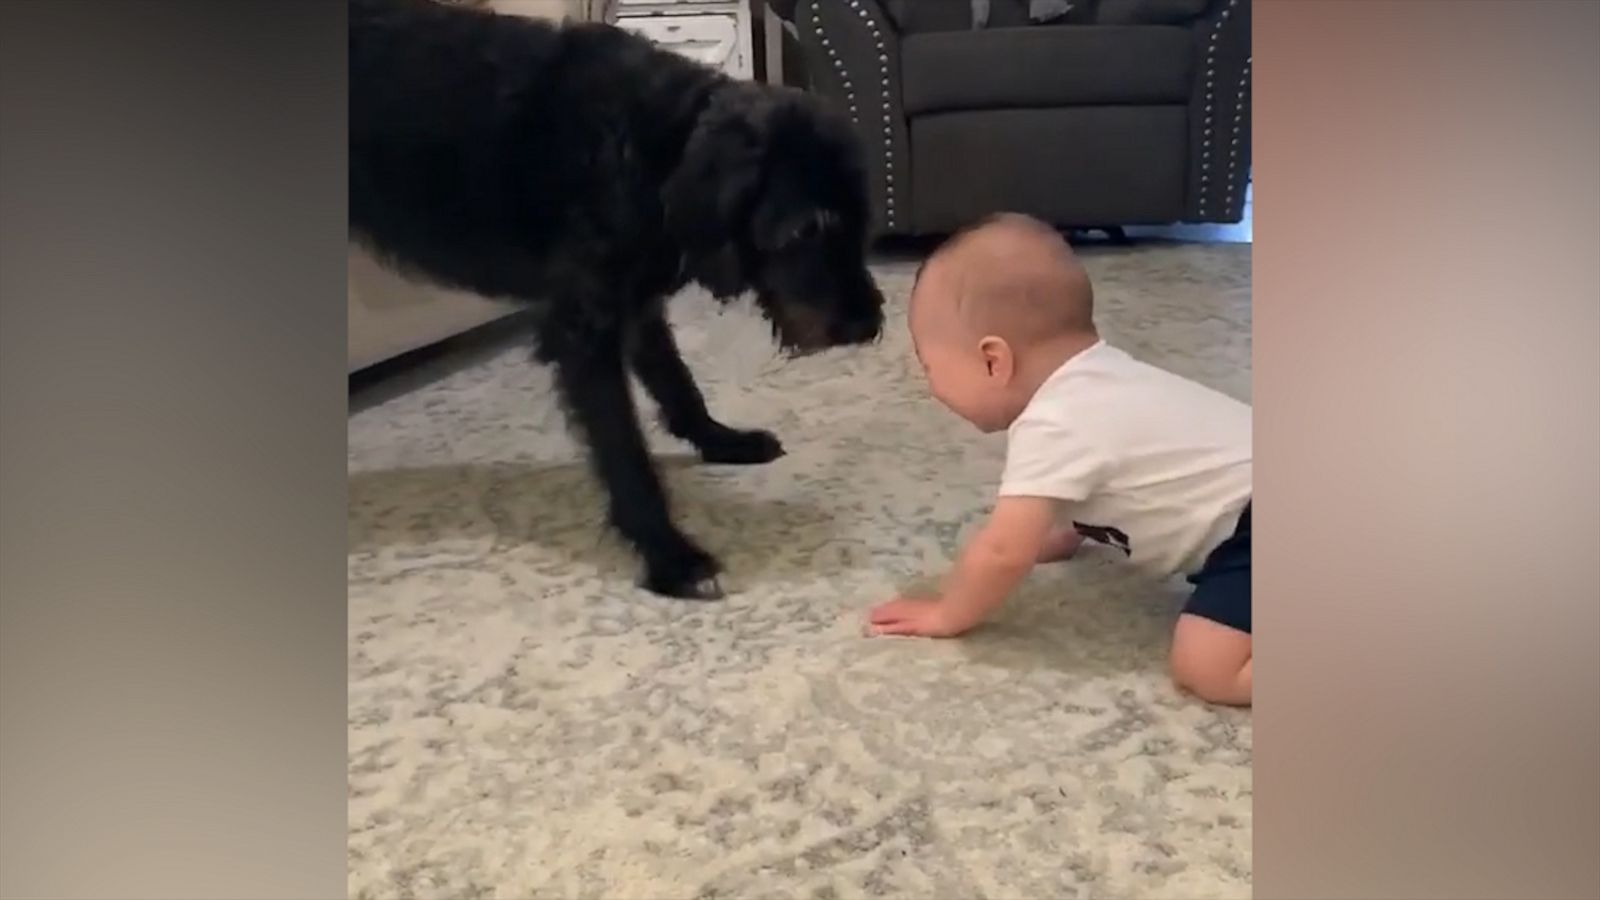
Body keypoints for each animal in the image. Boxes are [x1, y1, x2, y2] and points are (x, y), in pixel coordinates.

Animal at [348, 1, 889, 602]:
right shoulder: (585, 329)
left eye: (861, 222)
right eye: (807, 229)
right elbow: (626, 452)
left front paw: (720, 440)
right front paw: (671, 555)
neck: (658, 148)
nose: (867, 324)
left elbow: (677, 381)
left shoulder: (637, 303)